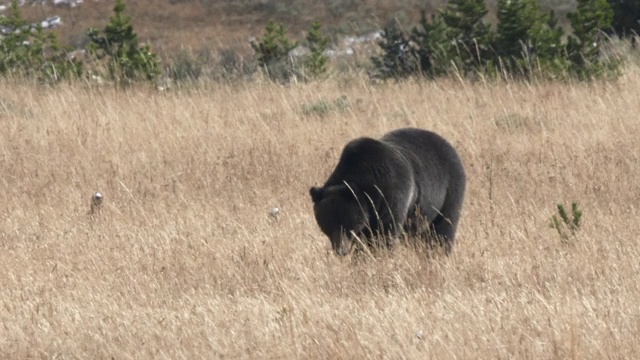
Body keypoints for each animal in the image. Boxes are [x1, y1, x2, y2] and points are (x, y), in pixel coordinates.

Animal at [308, 128, 464, 255]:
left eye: (348, 225)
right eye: (327, 224)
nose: (341, 250)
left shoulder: (392, 194)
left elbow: (385, 233)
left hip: (446, 193)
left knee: (443, 229)